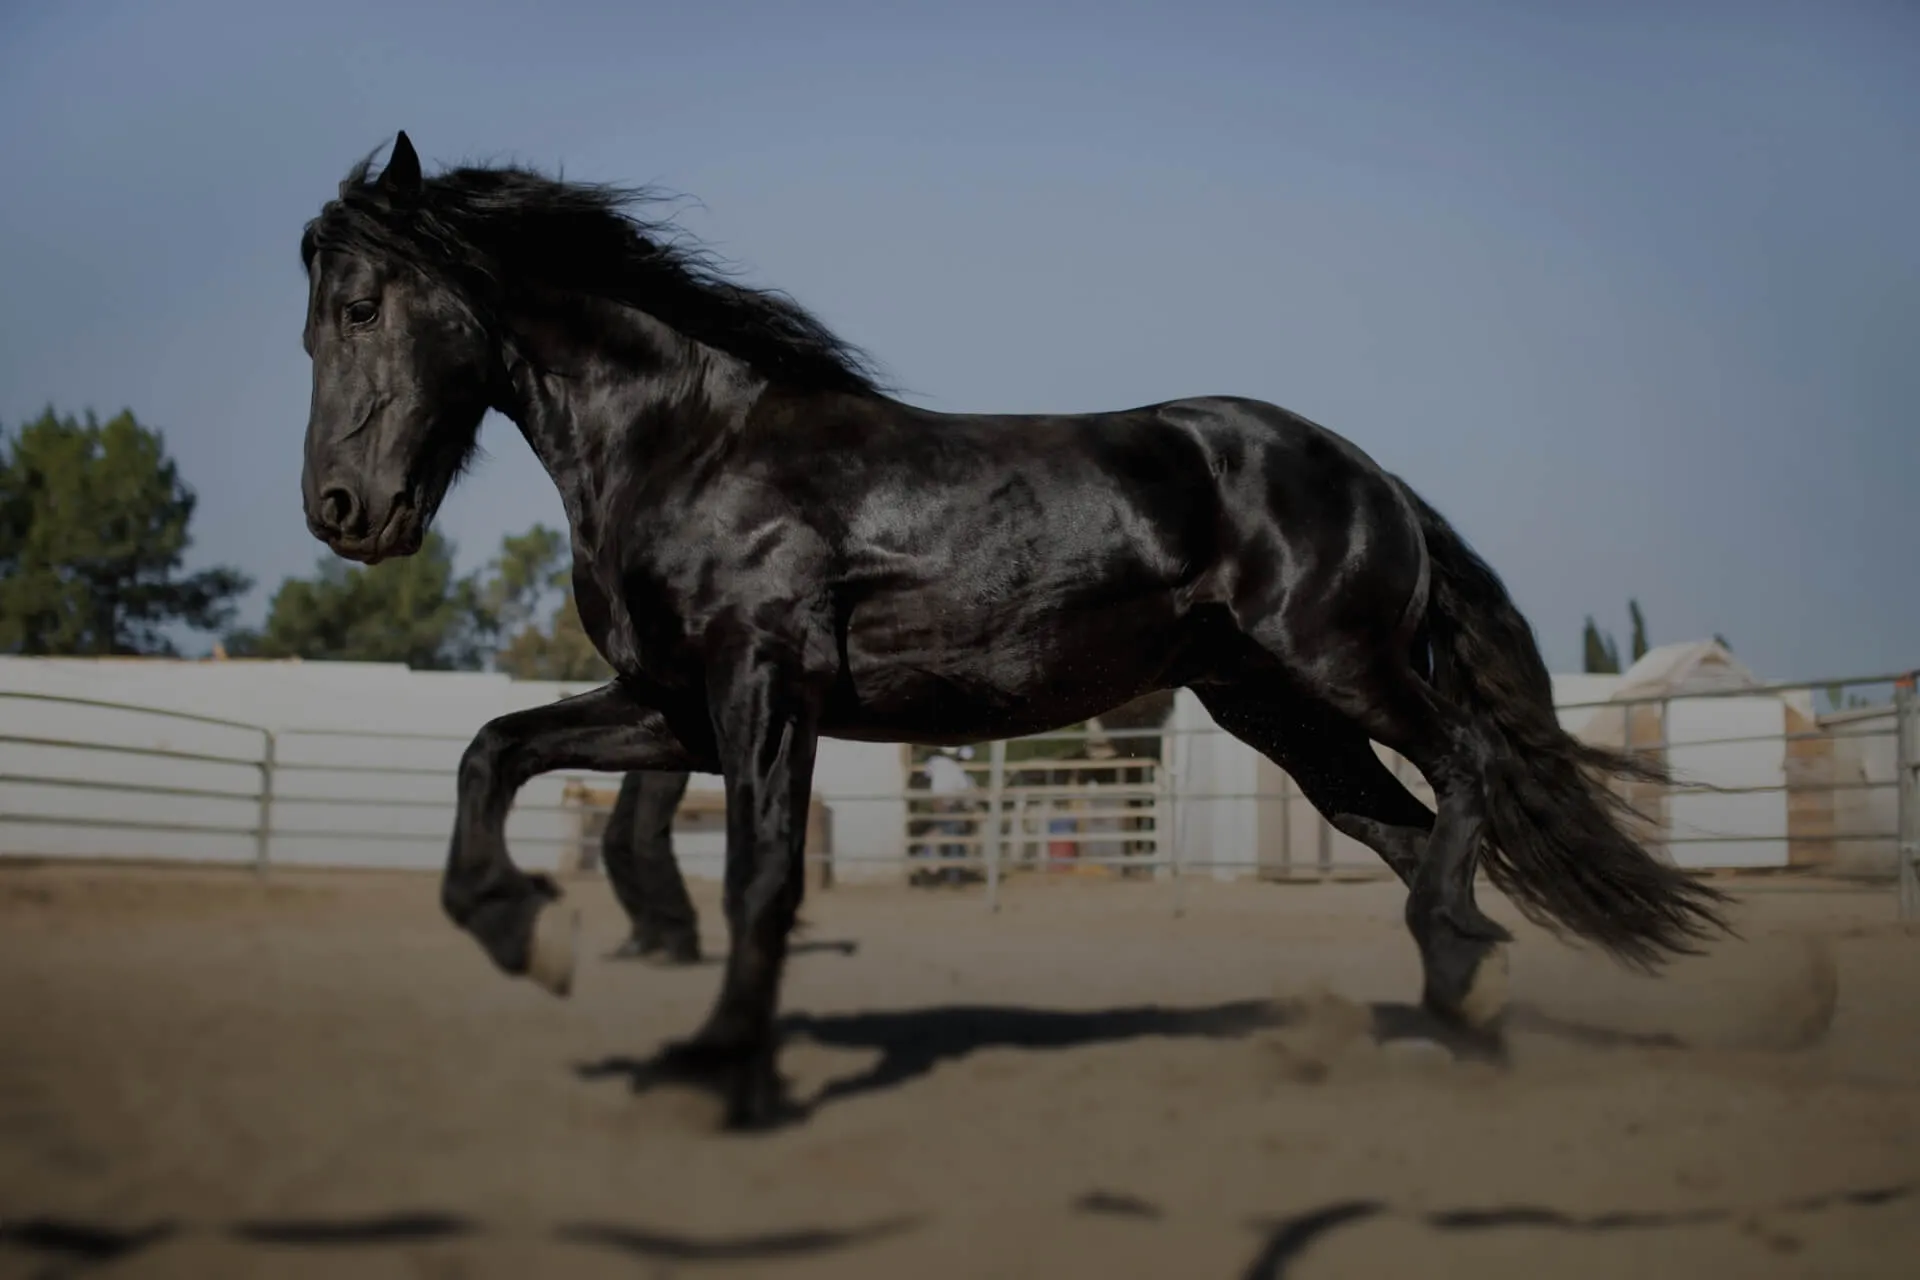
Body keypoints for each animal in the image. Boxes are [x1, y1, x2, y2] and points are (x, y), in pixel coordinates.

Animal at [295, 132, 1729, 1127]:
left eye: (362, 305)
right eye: (311, 320)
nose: (342, 509)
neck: (689, 443)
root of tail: (1368, 472)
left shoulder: (762, 690)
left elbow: (763, 875)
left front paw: (716, 1067)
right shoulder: (678, 710)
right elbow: (494, 747)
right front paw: (521, 933)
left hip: (1345, 666)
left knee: (1468, 767)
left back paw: (1465, 979)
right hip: (1277, 711)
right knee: (1409, 826)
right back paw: (1463, 999)